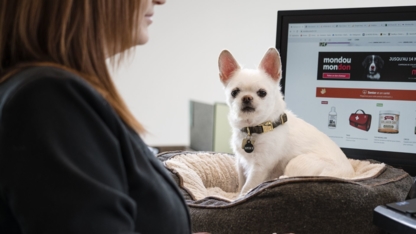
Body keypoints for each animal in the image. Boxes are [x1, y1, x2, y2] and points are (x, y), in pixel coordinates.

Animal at [218, 47, 354, 196]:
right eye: (234, 92)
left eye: (262, 93)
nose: (247, 98)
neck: (254, 128)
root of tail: (348, 176)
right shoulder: (241, 162)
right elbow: (241, 182)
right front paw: (235, 194)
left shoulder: (260, 166)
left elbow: (248, 187)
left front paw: (239, 197)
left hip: (296, 162)